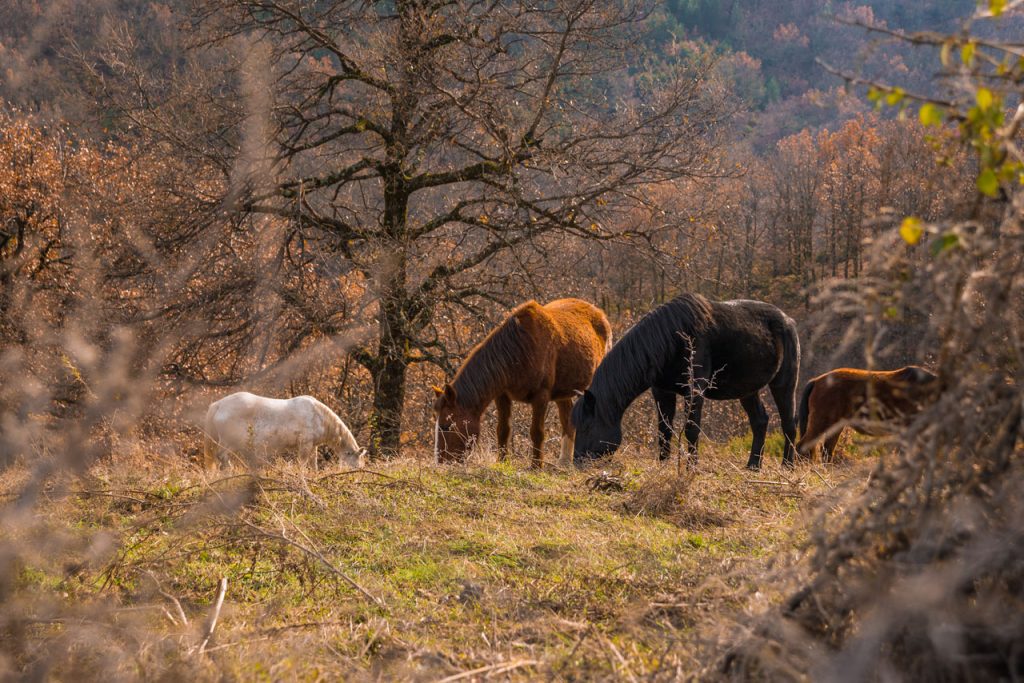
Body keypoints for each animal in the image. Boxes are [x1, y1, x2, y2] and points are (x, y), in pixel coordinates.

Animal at [199, 393, 364, 473]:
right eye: (356, 465)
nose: (355, 477)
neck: (317, 415)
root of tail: (218, 405)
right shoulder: (305, 445)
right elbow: (302, 464)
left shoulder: (313, 446)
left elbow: (313, 464)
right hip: (229, 443)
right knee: (222, 457)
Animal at [430, 299, 610, 471]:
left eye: (446, 426)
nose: (441, 463)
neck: (519, 350)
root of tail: (599, 313)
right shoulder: (502, 395)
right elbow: (503, 430)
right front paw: (502, 462)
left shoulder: (541, 396)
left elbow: (537, 432)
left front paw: (536, 466)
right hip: (563, 391)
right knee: (567, 420)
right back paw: (565, 461)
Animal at [577, 294, 798, 471]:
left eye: (586, 427)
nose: (577, 463)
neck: (673, 338)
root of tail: (788, 320)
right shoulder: (662, 391)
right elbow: (664, 430)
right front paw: (663, 465)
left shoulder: (694, 391)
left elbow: (692, 430)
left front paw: (692, 468)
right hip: (747, 390)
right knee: (760, 421)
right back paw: (753, 465)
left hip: (784, 384)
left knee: (789, 422)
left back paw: (787, 465)